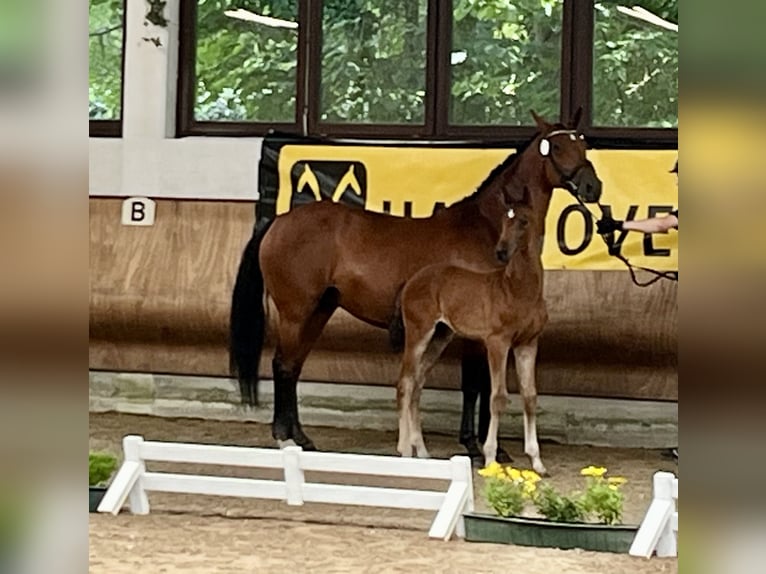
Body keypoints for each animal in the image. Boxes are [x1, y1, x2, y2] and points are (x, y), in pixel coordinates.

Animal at [396, 191, 552, 474]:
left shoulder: (528, 344)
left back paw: (422, 452)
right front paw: (490, 458)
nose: (501, 251)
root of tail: (411, 280)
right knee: (406, 382)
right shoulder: (497, 342)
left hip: (440, 337)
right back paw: (404, 452)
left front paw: (537, 462)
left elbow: (530, 396)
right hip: (418, 332)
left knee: (417, 383)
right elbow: (497, 397)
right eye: (504, 219)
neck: (518, 288)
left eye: (523, 221)